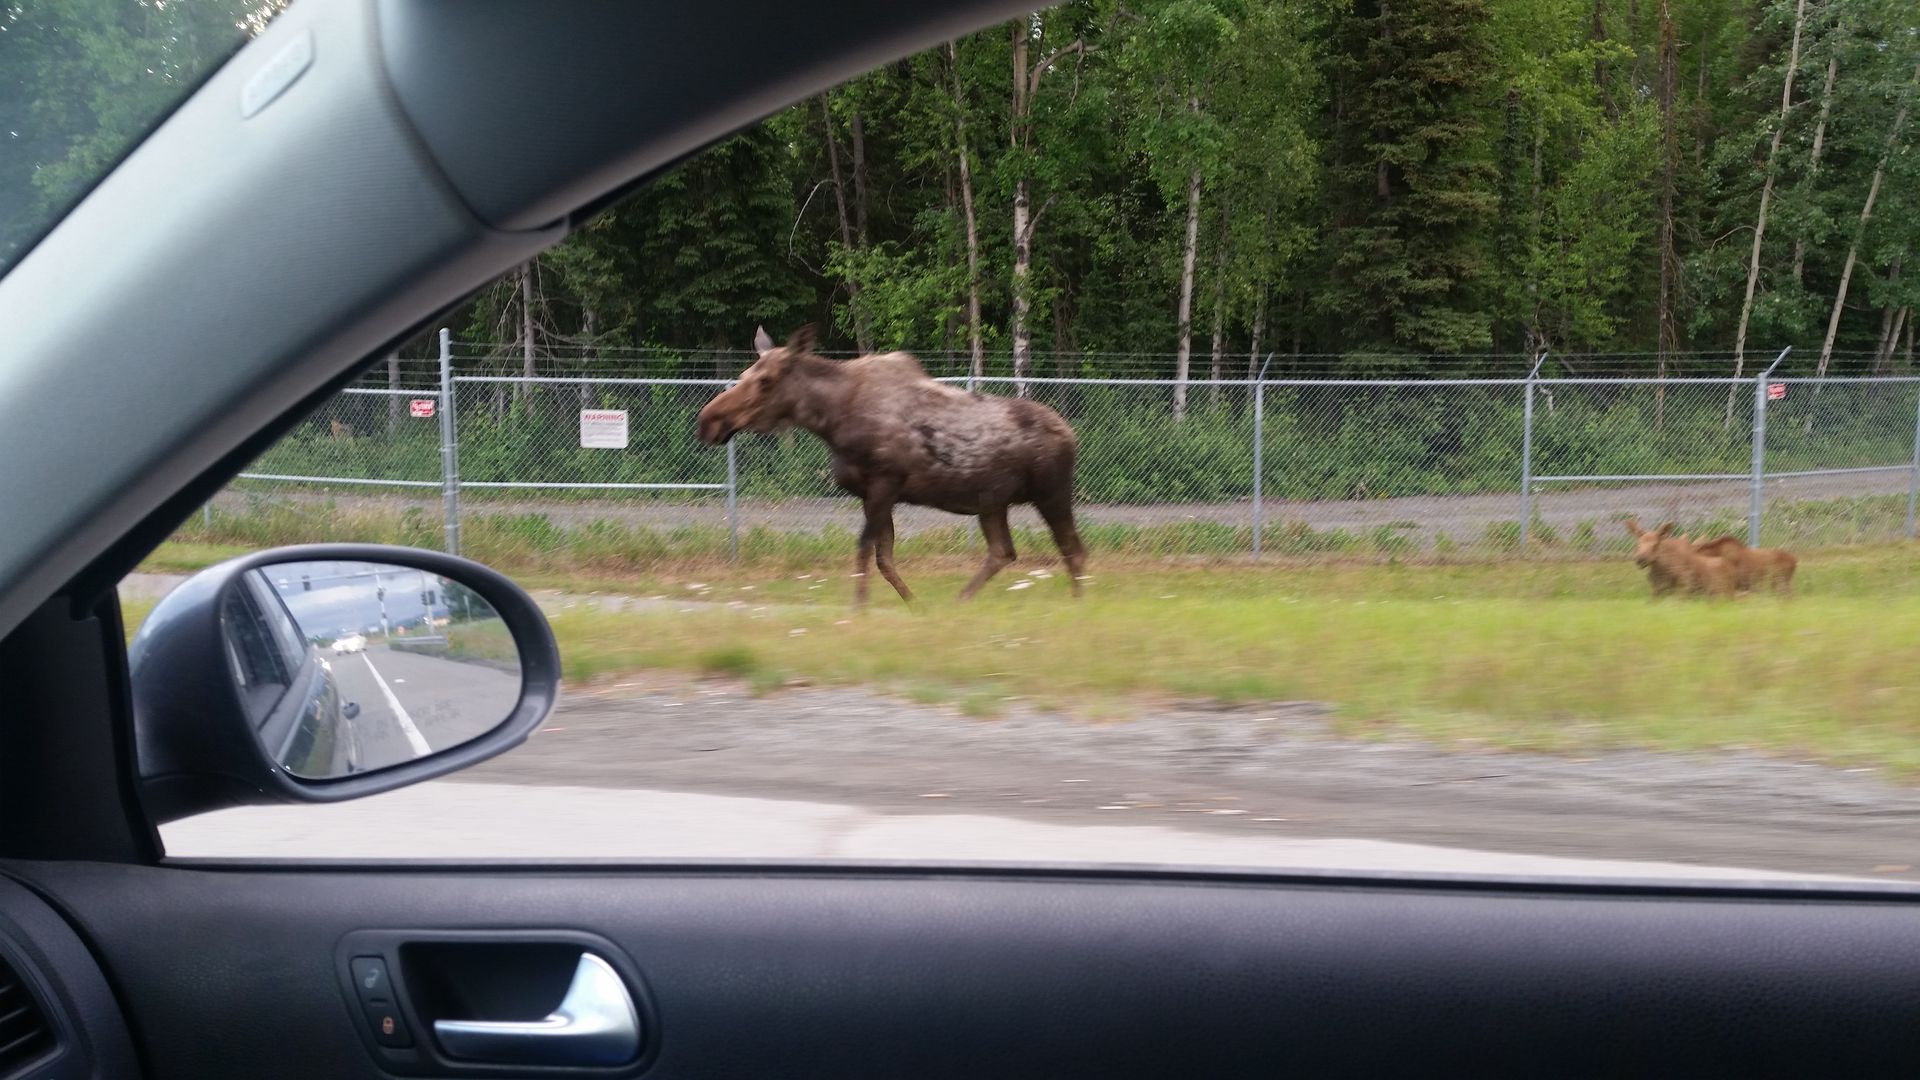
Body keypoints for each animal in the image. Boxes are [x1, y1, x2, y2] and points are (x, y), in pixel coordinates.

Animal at [695, 322, 1090, 607]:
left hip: (1051, 492)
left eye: (765, 380)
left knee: (1073, 549)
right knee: (1003, 551)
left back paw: (1076, 605)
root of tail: (1071, 434)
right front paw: (915, 606)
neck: (829, 420)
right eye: (744, 374)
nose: (708, 421)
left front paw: (859, 609)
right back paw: (959, 602)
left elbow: (864, 553)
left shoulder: (884, 483)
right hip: (992, 503)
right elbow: (883, 559)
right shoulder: (874, 494)